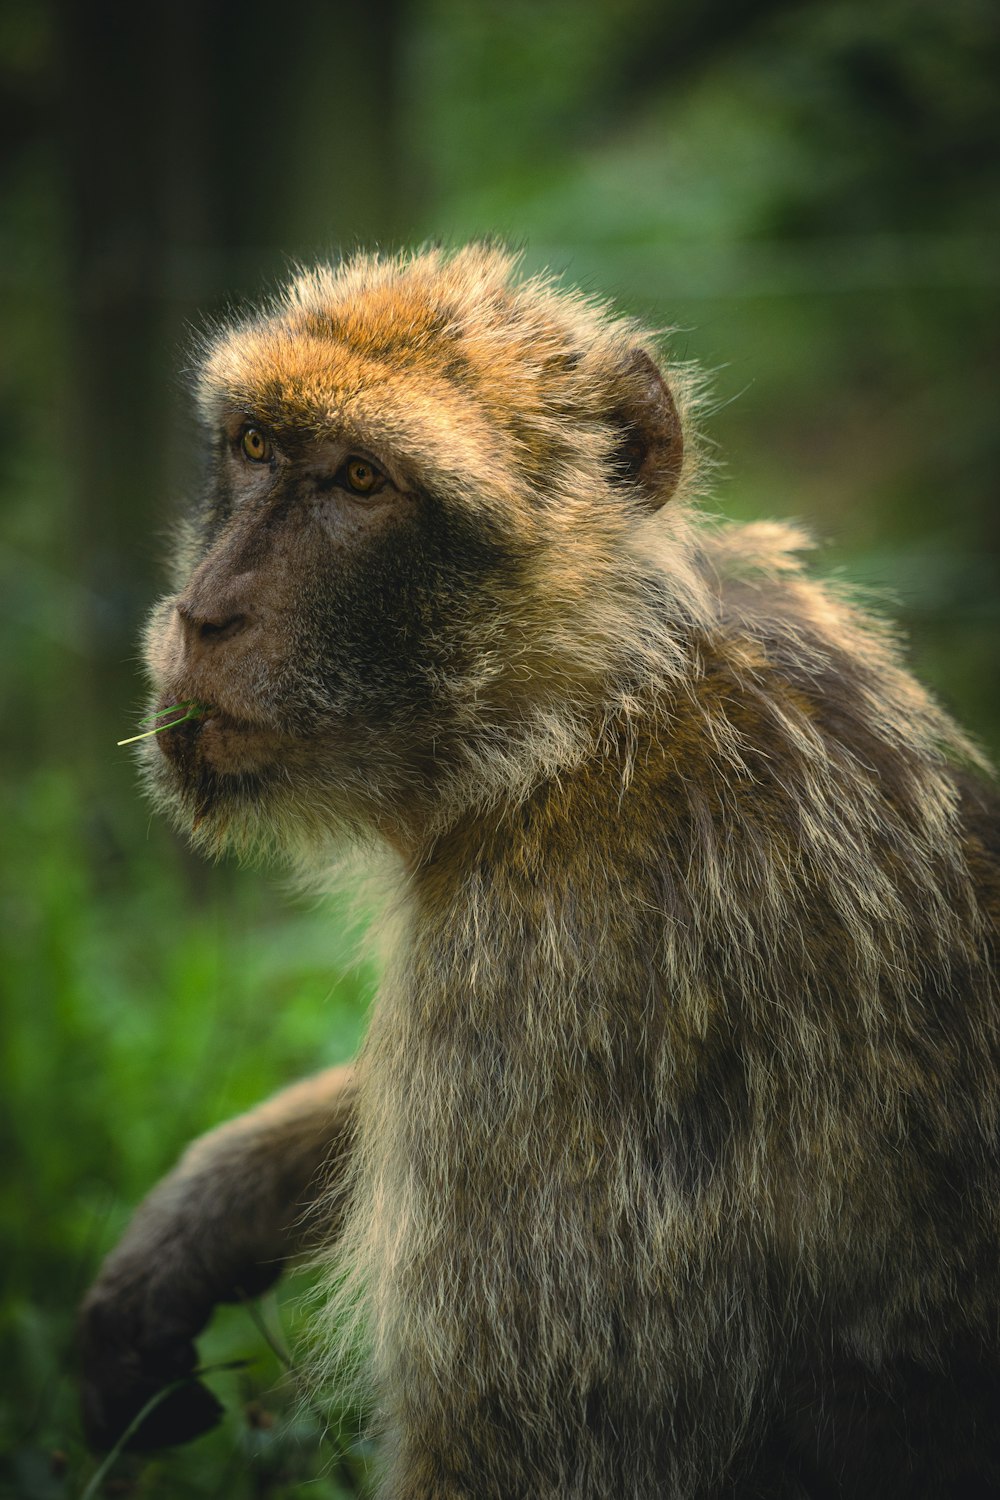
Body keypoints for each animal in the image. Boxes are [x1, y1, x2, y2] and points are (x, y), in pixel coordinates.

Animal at [82, 249, 1000, 1500]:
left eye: (362, 481)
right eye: (256, 445)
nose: (204, 613)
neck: (588, 717)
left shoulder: (571, 962)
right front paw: (205, 1210)